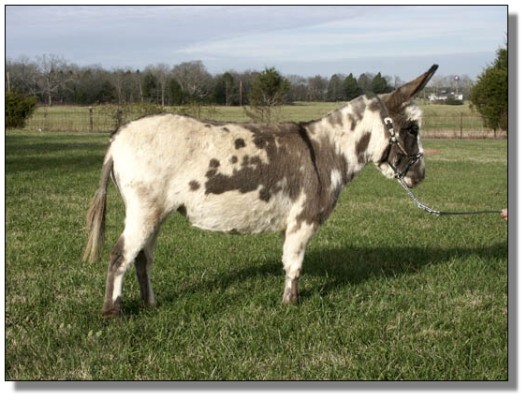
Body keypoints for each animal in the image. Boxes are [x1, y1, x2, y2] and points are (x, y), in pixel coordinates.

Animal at [83, 65, 438, 317]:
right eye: (412, 129)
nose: (421, 175)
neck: (327, 150)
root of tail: (117, 137)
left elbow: (290, 262)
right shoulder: (302, 221)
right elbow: (294, 264)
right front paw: (290, 304)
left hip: (155, 213)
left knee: (142, 258)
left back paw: (151, 305)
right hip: (144, 210)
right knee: (120, 255)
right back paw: (112, 313)